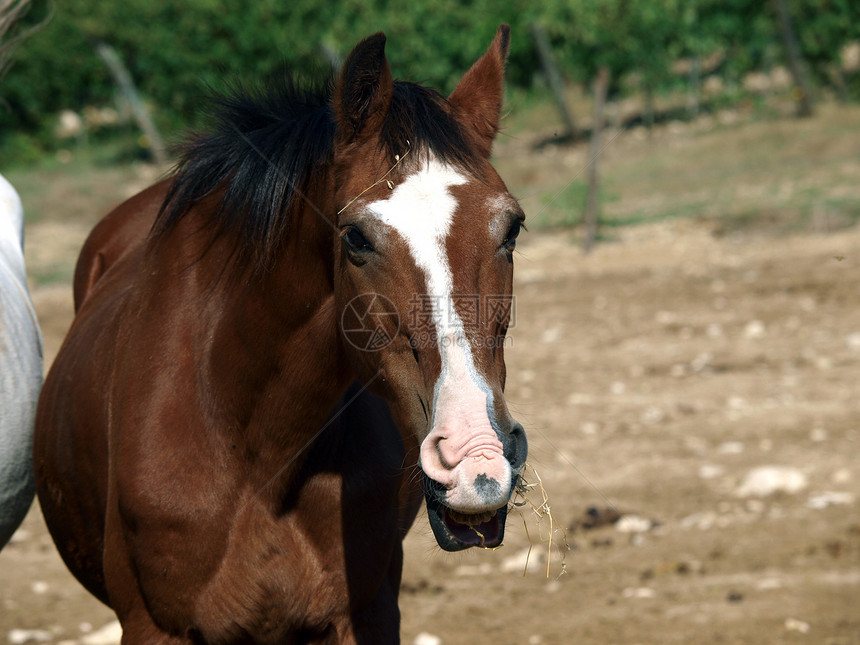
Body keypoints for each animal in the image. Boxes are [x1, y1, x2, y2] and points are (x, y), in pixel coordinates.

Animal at [33, 26, 528, 644]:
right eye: (355, 237)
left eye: (512, 228)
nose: (476, 460)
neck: (256, 452)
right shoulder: (152, 626)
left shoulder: (367, 613)